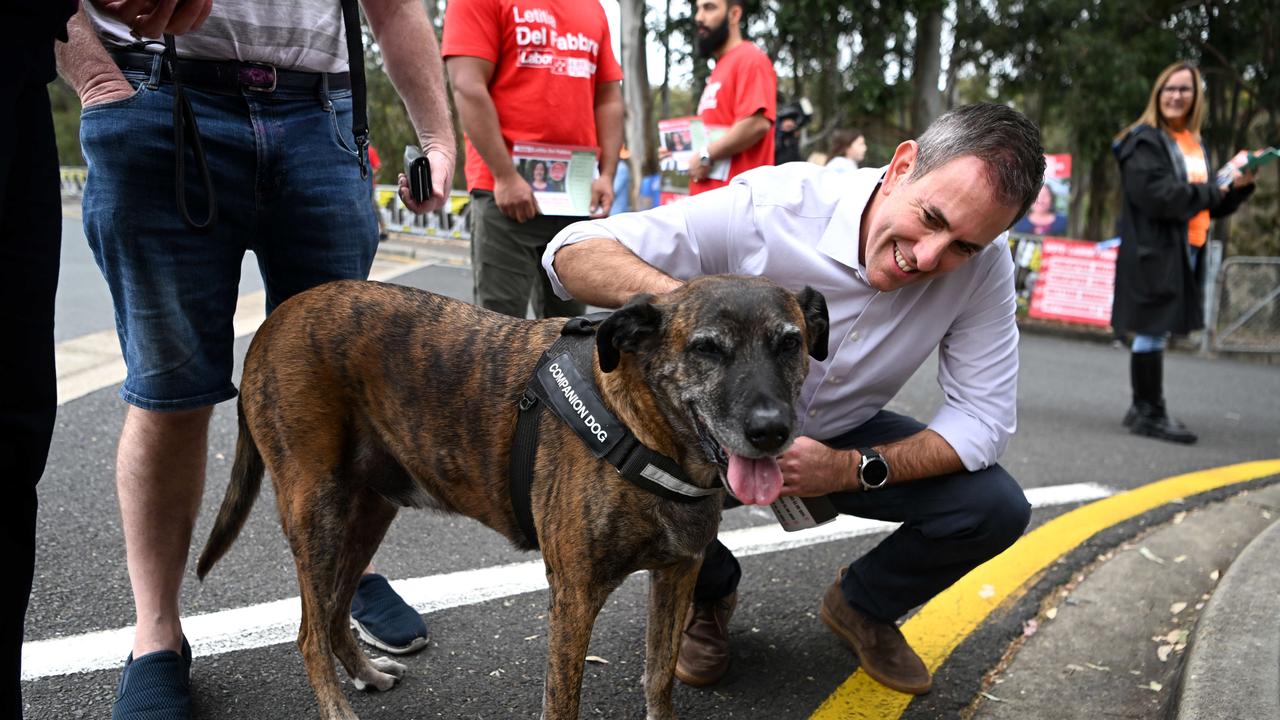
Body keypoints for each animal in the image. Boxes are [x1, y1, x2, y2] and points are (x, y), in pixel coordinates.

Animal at [194, 274, 824, 717]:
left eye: (789, 343)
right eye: (707, 350)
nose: (771, 430)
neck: (647, 432)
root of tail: (272, 322)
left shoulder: (677, 574)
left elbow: (659, 679)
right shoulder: (574, 598)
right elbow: (562, 702)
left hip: (369, 511)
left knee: (332, 610)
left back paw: (366, 673)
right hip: (317, 510)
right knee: (307, 632)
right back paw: (337, 707)